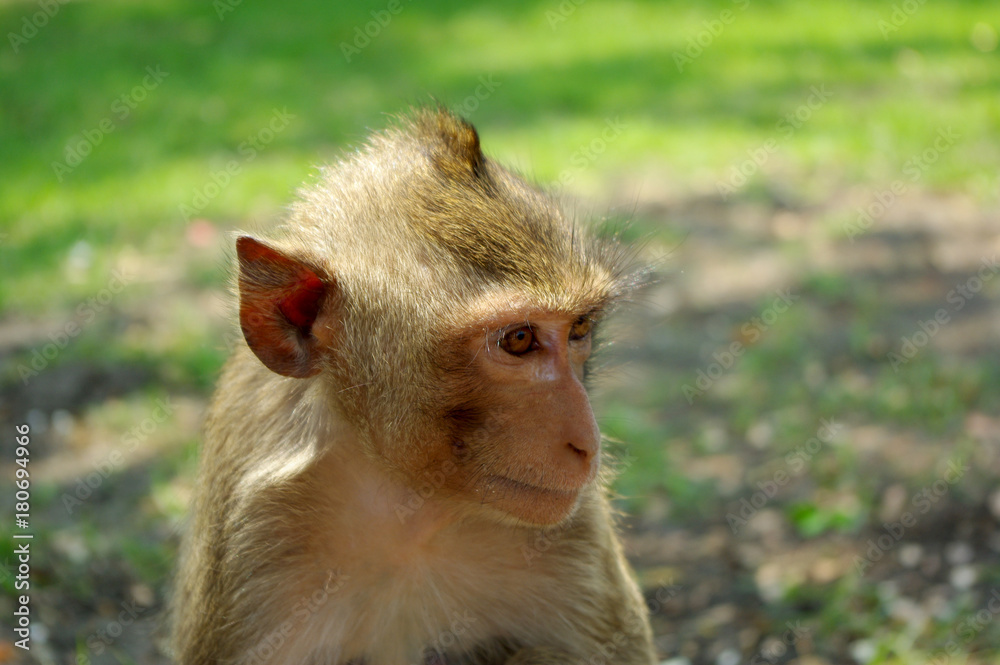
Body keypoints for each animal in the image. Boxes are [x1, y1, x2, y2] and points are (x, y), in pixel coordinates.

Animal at [169, 108, 655, 665]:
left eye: (580, 328)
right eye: (518, 339)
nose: (588, 444)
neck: (409, 508)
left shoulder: (578, 532)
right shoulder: (252, 543)